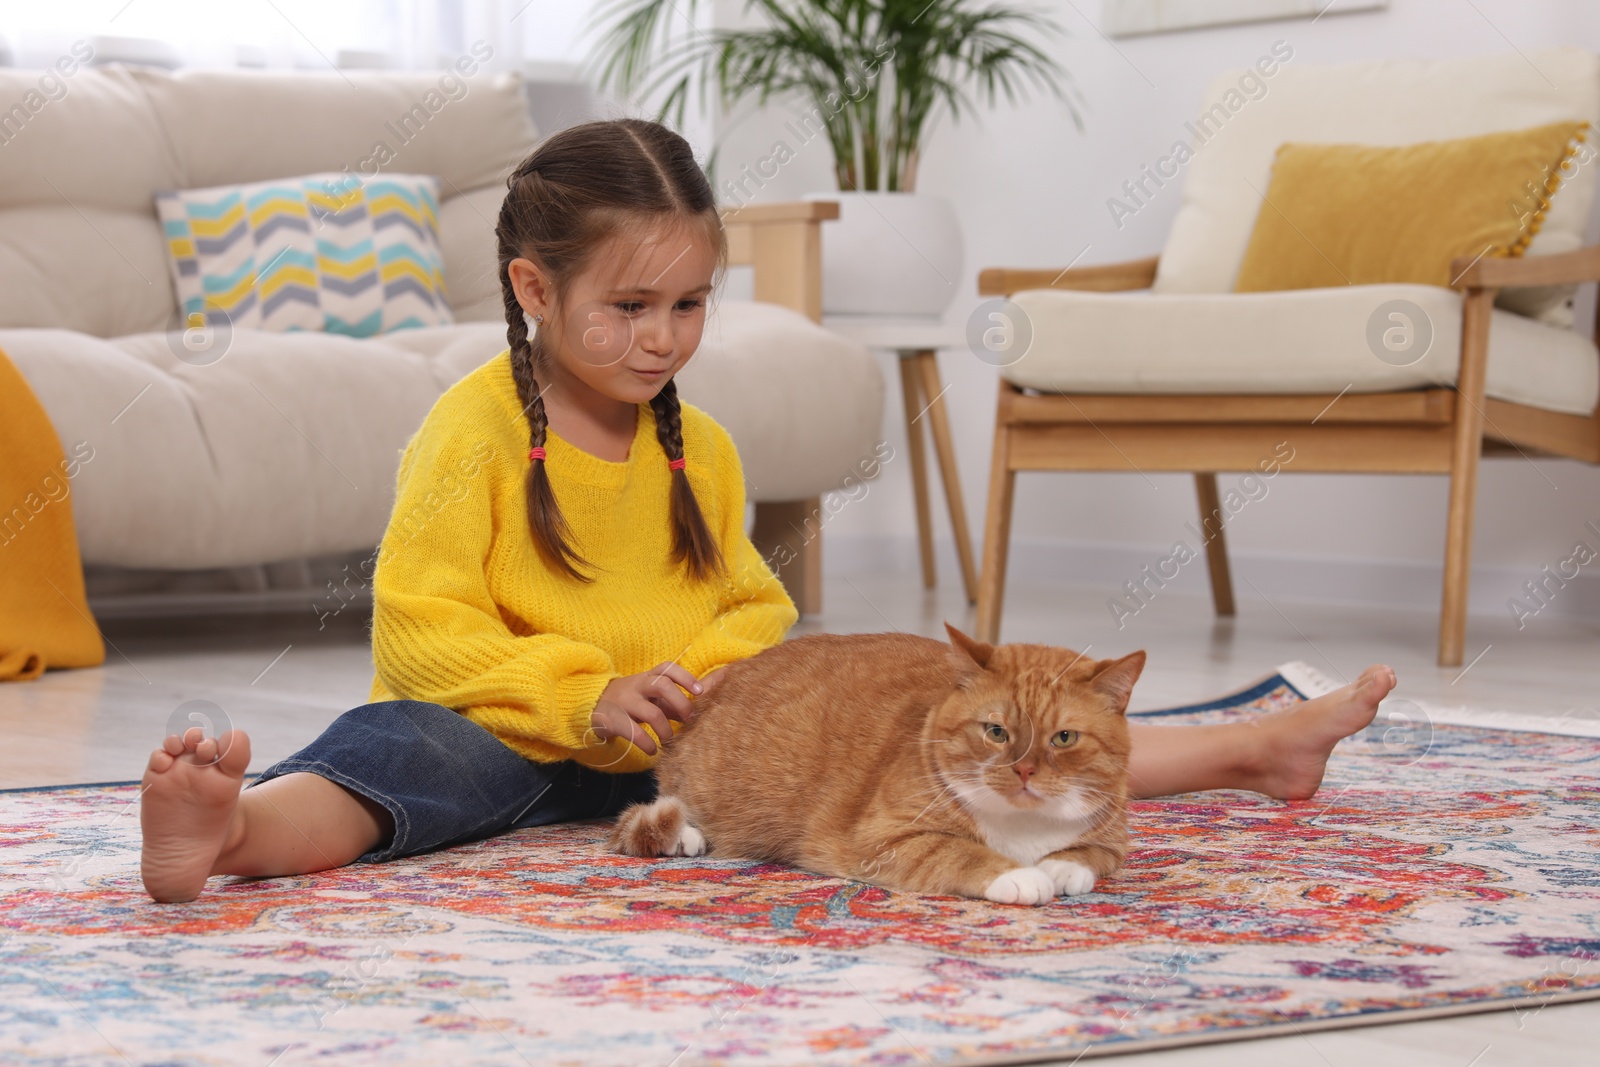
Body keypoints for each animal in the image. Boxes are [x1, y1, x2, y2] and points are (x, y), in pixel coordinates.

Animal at [604, 627, 1145, 908]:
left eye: (1064, 738)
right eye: (996, 732)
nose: (1025, 773)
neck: (1021, 827)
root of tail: (707, 694)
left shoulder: (1111, 836)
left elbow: (1088, 856)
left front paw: (1059, 867)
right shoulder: (880, 840)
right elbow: (959, 852)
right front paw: (1020, 876)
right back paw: (685, 835)